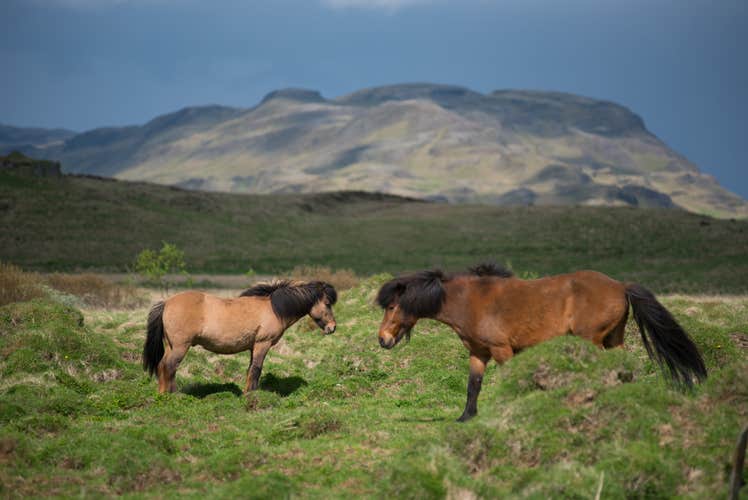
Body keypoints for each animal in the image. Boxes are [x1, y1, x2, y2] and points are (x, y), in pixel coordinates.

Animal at [142, 280, 337, 394]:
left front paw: (248, 392)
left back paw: (163, 394)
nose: (332, 327)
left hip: (171, 346)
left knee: (162, 366)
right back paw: (173, 395)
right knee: (170, 366)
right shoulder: (262, 344)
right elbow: (256, 369)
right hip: (180, 346)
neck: (273, 309)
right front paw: (251, 396)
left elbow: (251, 369)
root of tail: (166, 303)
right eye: (327, 303)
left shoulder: (253, 347)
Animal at [376, 263, 707, 422]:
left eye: (391, 306)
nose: (383, 340)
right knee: (624, 370)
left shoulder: (502, 350)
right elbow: (473, 386)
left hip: (592, 341)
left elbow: (514, 381)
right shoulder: (478, 353)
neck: (470, 300)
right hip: (614, 340)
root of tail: (620, 285)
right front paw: (466, 417)